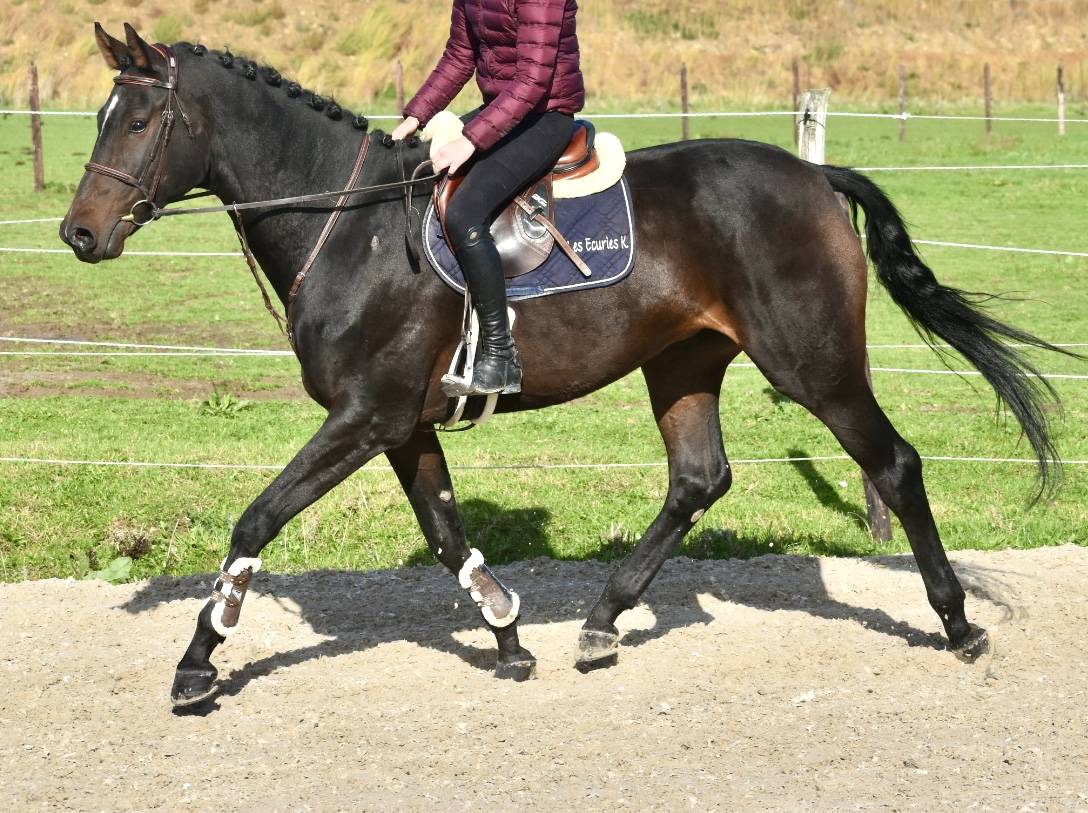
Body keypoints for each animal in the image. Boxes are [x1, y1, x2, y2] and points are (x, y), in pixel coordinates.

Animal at [63, 24, 1069, 706]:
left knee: (892, 463)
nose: (79, 234)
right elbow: (446, 533)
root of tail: (814, 177)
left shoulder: (364, 416)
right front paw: (509, 638)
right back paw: (600, 619)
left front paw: (199, 658)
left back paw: (956, 622)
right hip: (684, 362)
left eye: (141, 119)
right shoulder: (403, 424)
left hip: (811, 362)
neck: (349, 227)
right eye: (103, 117)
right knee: (699, 478)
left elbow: (257, 518)